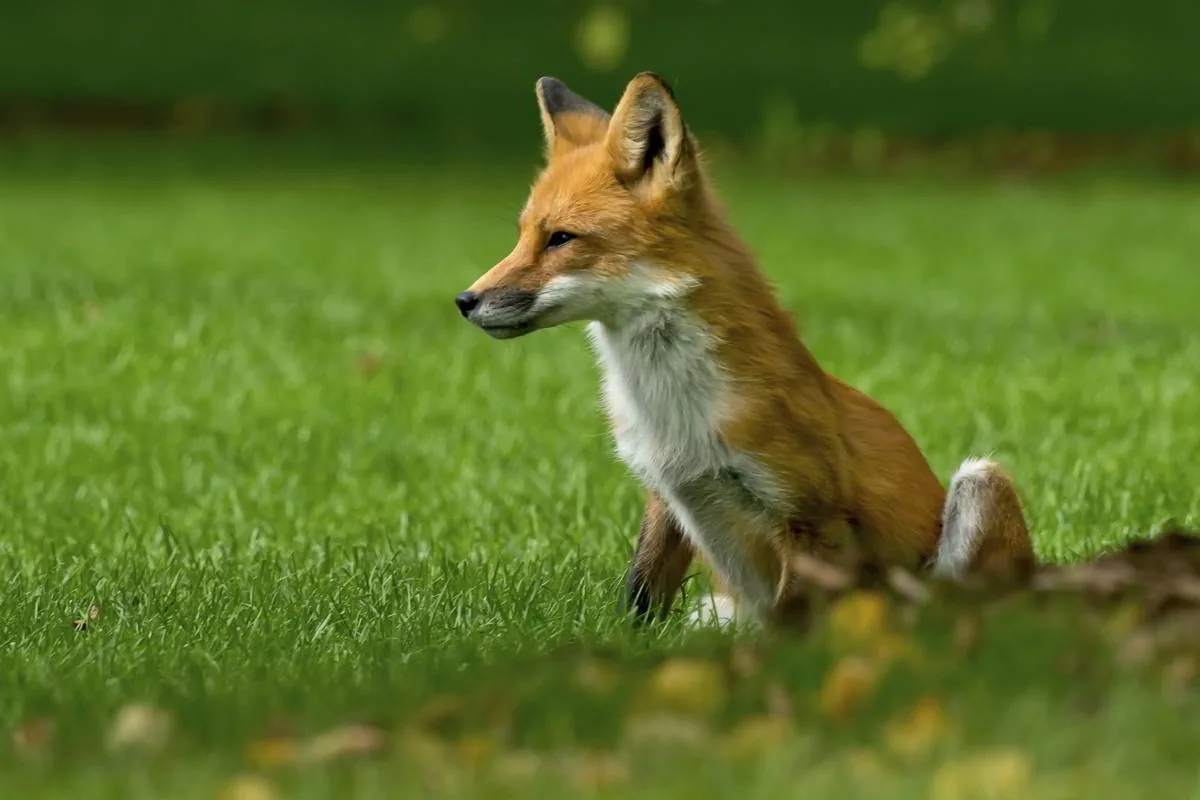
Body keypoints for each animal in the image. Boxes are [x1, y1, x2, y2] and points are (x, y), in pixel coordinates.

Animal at [454, 72, 1036, 627]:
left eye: (560, 238)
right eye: (522, 235)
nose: (465, 300)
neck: (672, 409)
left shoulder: (811, 520)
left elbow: (787, 623)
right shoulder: (667, 494)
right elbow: (640, 598)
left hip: (982, 483)